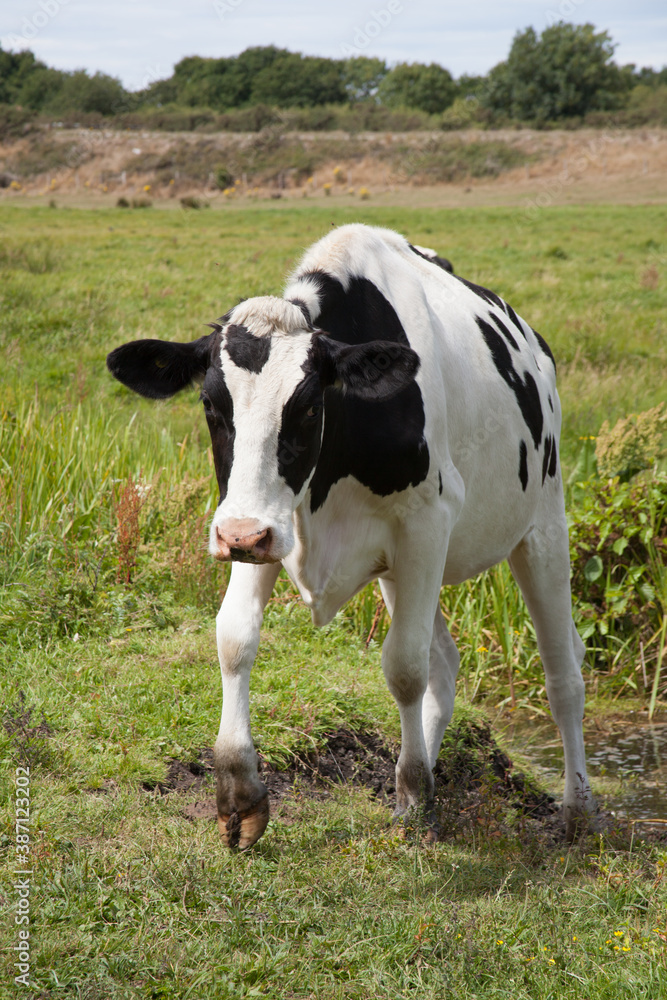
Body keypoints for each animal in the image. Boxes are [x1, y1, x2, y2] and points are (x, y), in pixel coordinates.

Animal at [107, 223, 596, 848]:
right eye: (211, 404)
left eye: (309, 405)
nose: (238, 535)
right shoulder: (265, 523)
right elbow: (235, 638)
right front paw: (239, 792)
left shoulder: (426, 521)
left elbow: (403, 667)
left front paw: (415, 797)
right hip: (398, 568)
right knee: (445, 663)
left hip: (542, 525)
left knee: (562, 671)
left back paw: (577, 808)